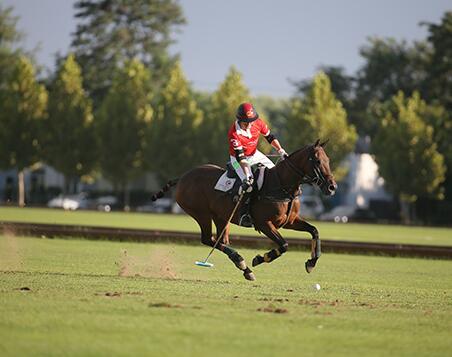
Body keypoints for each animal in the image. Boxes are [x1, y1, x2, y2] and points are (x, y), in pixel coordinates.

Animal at [152, 140, 336, 280]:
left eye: (328, 159)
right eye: (317, 161)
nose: (332, 187)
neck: (282, 185)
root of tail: (183, 177)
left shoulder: (289, 221)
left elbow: (314, 230)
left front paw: (311, 263)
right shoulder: (264, 224)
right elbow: (284, 244)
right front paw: (260, 258)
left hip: (220, 216)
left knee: (220, 240)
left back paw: (244, 268)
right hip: (201, 214)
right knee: (207, 239)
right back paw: (242, 262)